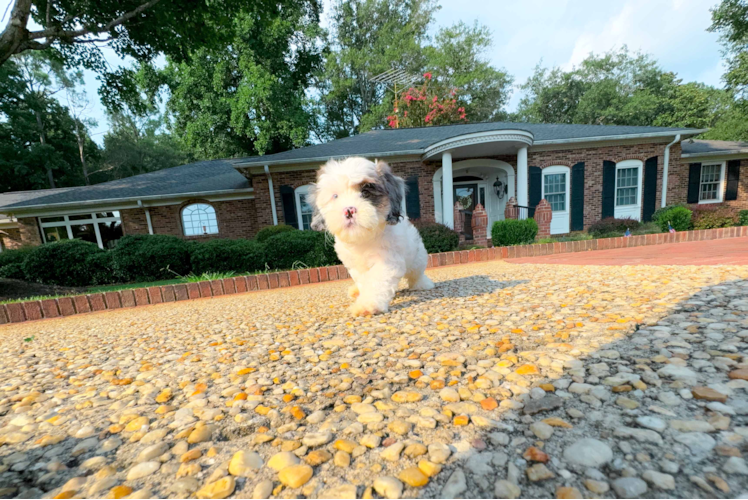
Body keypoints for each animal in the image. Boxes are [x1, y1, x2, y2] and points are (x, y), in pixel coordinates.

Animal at [308, 156, 432, 316]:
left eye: (366, 193)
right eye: (335, 196)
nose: (349, 210)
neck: (364, 238)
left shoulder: (387, 261)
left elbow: (377, 282)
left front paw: (367, 305)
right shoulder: (355, 266)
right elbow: (364, 281)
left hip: (417, 257)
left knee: (416, 273)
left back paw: (422, 284)